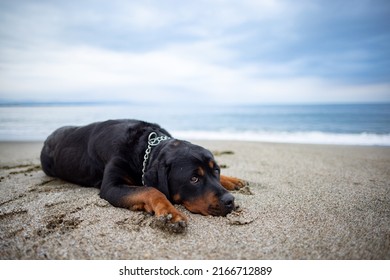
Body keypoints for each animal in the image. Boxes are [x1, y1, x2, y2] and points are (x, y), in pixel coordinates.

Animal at [40, 120, 247, 232]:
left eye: (216, 170)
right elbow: (151, 190)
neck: (146, 148)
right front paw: (170, 214)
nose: (230, 201)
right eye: (193, 179)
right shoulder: (111, 187)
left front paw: (232, 180)